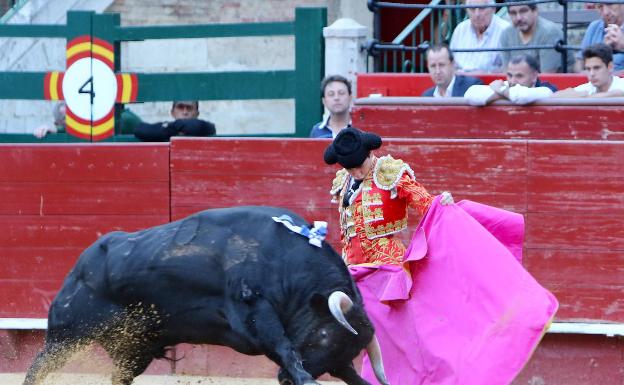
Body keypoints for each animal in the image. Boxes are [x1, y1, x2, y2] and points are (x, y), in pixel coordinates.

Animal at [25, 207, 390, 384]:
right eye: (324, 335)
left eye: (346, 351)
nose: (286, 380)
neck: (284, 258)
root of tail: (79, 266)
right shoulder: (254, 310)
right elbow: (284, 345)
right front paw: (303, 379)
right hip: (67, 335)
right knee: (37, 368)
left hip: (135, 349)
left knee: (119, 377)